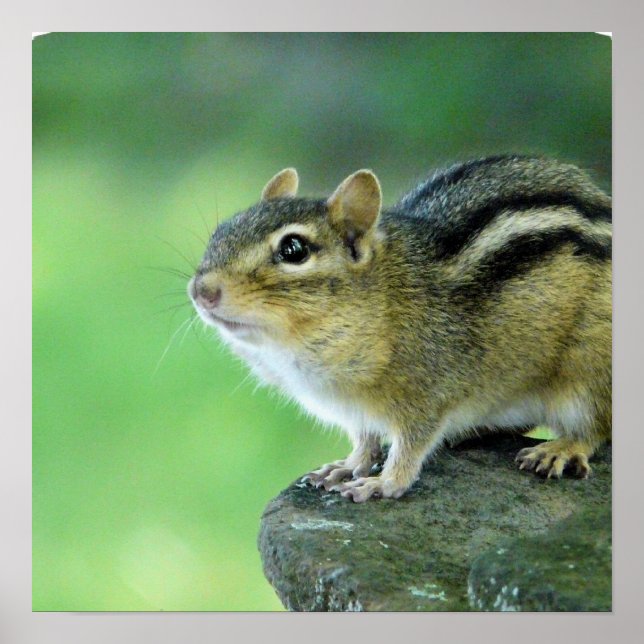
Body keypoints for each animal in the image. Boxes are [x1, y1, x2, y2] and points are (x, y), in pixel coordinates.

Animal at [188, 155, 612, 503]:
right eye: (222, 231)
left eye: (294, 249)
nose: (201, 290)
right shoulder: (355, 410)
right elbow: (365, 439)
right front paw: (348, 465)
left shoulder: (429, 392)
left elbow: (411, 445)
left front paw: (384, 483)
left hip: (589, 371)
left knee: (595, 428)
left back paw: (560, 448)